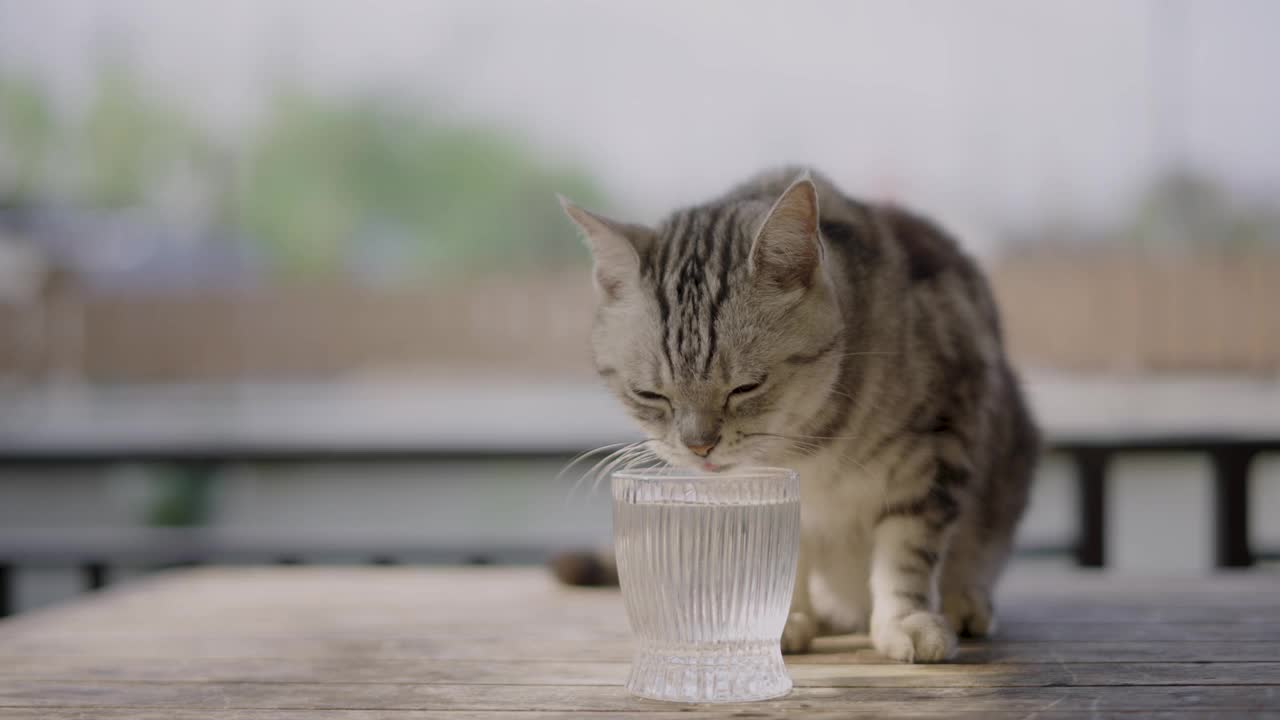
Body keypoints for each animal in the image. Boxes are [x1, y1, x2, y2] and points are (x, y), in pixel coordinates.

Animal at [560, 167, 1039, 661]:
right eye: (650, 394)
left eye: (746, 387)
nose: (699, 446)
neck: (810, 445)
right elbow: (783, 556)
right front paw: (782, 619)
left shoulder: (938, 445)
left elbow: (906, 551)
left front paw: (906, 620)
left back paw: (965, 602)